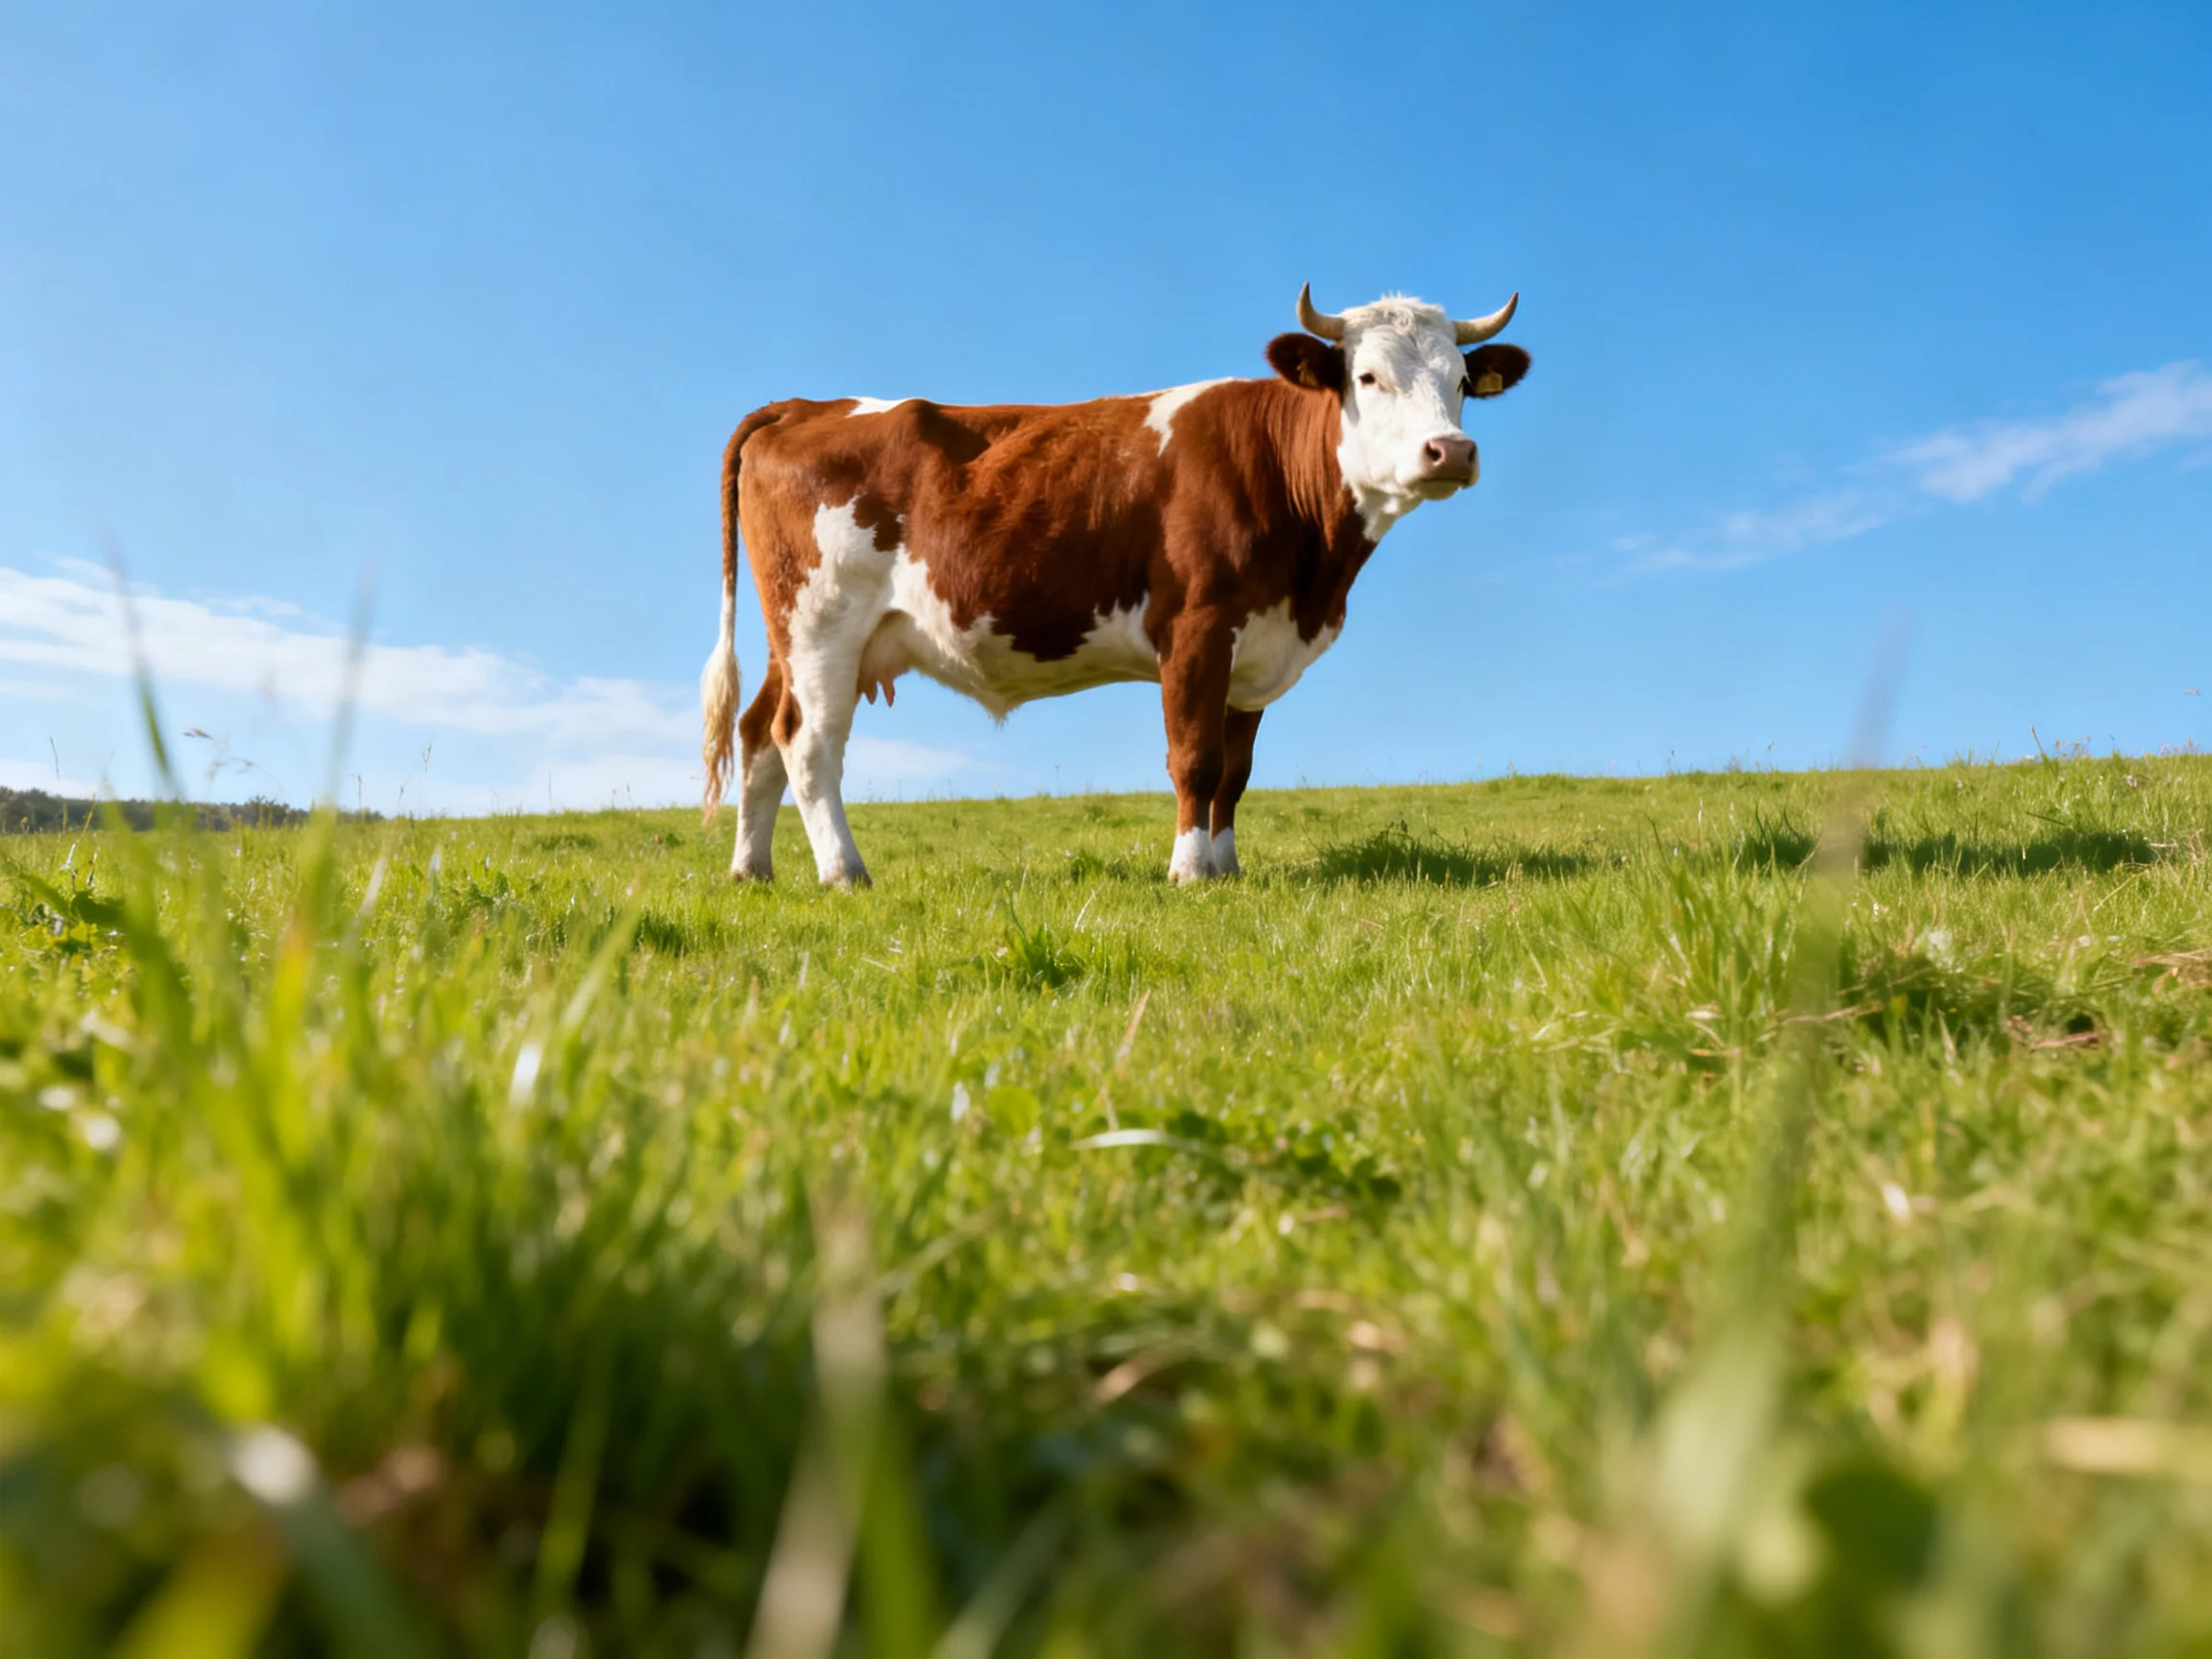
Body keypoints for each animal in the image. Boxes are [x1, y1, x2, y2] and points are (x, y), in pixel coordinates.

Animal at [700, 286, 1529, 888]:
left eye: (1462, 381)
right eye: (1367, 377)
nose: (1451, 451)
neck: (1313, 575)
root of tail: (805, 404)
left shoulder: (1256, 649)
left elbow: (1235, 771)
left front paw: (1229, 869)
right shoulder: (1197, 627)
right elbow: (1195, 758)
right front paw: (1190, 873)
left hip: (792, 635)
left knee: (758, 732)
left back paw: (751, 870)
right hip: (823, 622)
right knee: (808, 743)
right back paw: (845, 872)